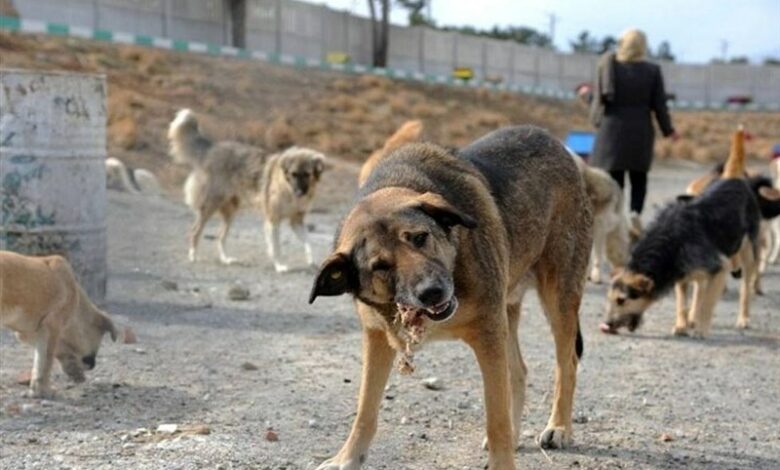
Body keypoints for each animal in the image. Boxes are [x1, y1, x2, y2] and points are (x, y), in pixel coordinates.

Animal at [310, 126, 592, 468]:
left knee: (567, 363)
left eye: (420, 237)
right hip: (507, 311)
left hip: (558, 297)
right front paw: (347, 457)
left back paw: (559, 427)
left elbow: (496, 418)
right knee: (519, 371)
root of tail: (554, 141)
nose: (432, 292)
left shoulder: (487, 334)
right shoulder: (377, 337)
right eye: (380, 266)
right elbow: (365, 409)